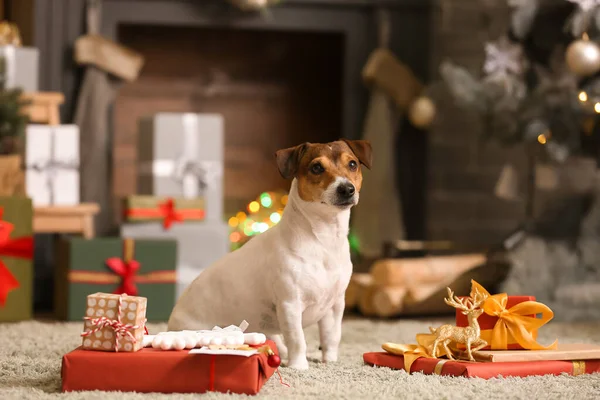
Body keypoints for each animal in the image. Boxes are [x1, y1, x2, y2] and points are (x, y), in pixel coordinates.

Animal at [168, 139, 370, 370]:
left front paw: (330, 362)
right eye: (317, 167)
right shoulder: (290, 305)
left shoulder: (335, 306)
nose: (346, 188)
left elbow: (331, 337)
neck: (323, 241)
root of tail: (172, 319)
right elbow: (298, 339)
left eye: (352, 164)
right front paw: (299, 366)